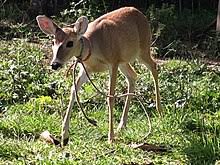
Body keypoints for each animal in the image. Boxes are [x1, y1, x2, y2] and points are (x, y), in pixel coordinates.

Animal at [36, 6, 162, 146]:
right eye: (53, 42)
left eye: (70, 43)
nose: (55, 64)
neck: (93, 48)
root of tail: (140, 14)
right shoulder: (86, 69)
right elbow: (74, 90)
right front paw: (64, 136)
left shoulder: (113, 62)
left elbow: (110, 97)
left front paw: (110, 137)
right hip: (124, 61)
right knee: (133, 76)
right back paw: (122, 125)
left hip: (143, 48)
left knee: (154, 66)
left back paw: (159, 111)